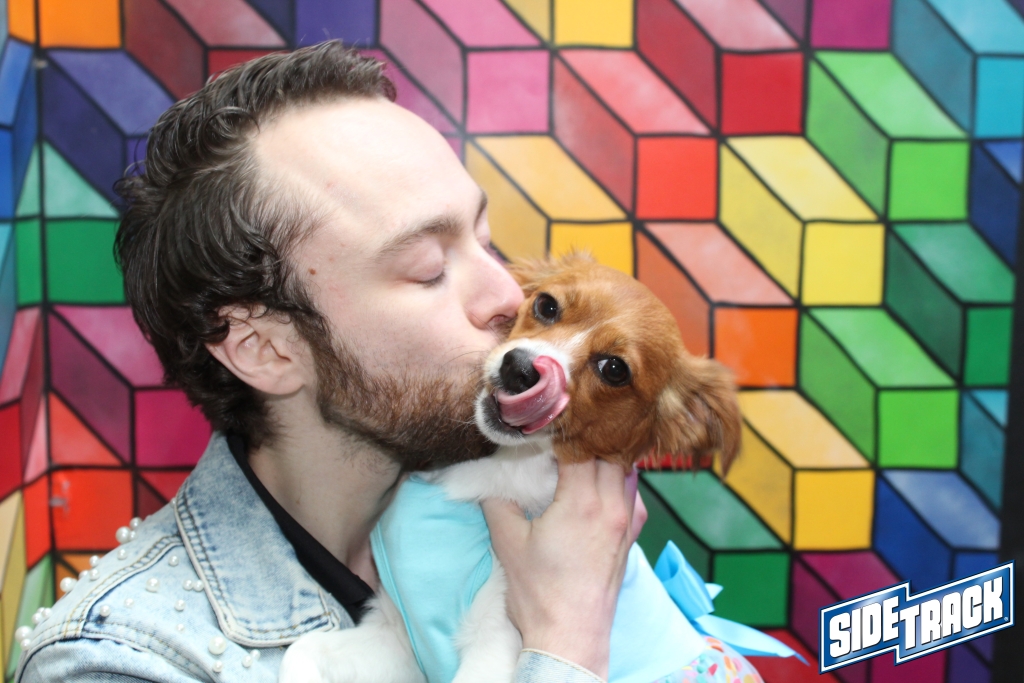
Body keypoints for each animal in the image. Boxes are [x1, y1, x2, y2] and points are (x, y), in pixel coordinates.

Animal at [279, 254, 743, 683]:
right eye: (547, 306)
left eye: (614, 369)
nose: (519, 368)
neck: (497, 470)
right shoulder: (394, 632)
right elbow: (302, 650)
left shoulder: (494, 646)